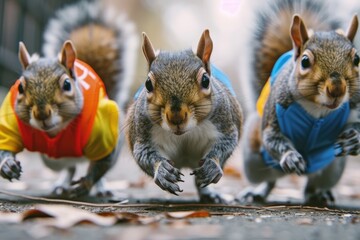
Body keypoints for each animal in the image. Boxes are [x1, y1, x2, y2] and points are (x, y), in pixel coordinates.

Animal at [0, 0, 138, 199]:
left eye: (67, 85)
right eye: (20, 87)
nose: (42, 114)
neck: (56, 130)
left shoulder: (105, 136)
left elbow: (101, 165)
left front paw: (87, 183)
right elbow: (6, 146)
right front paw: (7, 165)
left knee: (96, 167)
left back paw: (100, 187)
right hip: (52, 160)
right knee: (70, 167)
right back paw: (62, 184)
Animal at [125, 29, 243, 202]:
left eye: (205, 80)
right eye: (148, 84)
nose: (176, 118)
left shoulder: (225, 124)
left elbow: (225, 144)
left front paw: (212, 165)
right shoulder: (142, 134)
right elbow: (144, 154)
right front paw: (162, 171)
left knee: (199, 181)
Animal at [239, 0, 360, 206]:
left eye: (357, 59)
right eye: (305, 61)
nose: (337, 89)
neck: (318, 110)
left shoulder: (355, 104)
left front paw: (354, 139)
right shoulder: (275, 111)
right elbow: (272, 138)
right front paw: (290, 157)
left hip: (333, 166)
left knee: (312, 184)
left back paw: (318, 194)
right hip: (253, 161)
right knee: (269, 180)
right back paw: (258, 192)